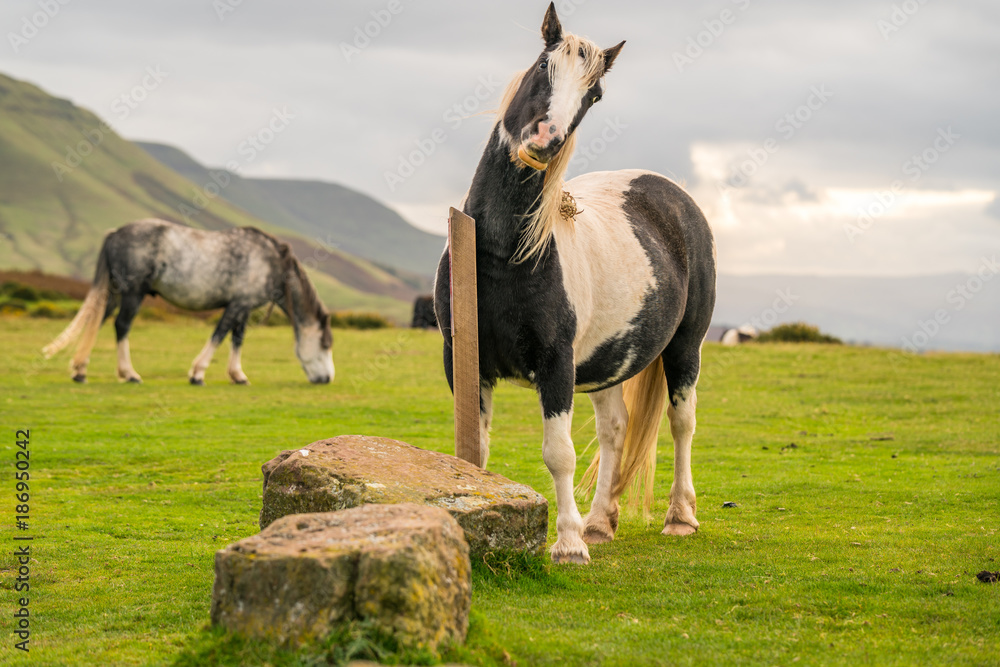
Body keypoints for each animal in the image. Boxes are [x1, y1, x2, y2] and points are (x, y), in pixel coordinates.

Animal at [43, 219, 334, 385]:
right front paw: (197, 373)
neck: (271, 261)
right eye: (325, 344)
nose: (328, 379)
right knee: (121, 326)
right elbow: (219, 334)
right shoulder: (237, 305)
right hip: (133, 294)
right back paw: (129, 374)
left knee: (98, 321)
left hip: (114, 293)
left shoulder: (244, 307)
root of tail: (116, 233)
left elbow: (237, 339)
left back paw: (80, 371)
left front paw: (237, 375)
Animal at [434, 3, 716, 564]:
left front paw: (566, 543)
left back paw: (679, 516)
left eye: (595, 94)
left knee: (682, 423)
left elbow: (558, 454)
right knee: (614, 432)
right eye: (544, 66)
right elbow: (475, 448)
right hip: (607, 364)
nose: (546, 138)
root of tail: (673, 195)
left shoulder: (556, 364)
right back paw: (600, 522)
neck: (501, 252)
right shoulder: (464, 362)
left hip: (684, 349)